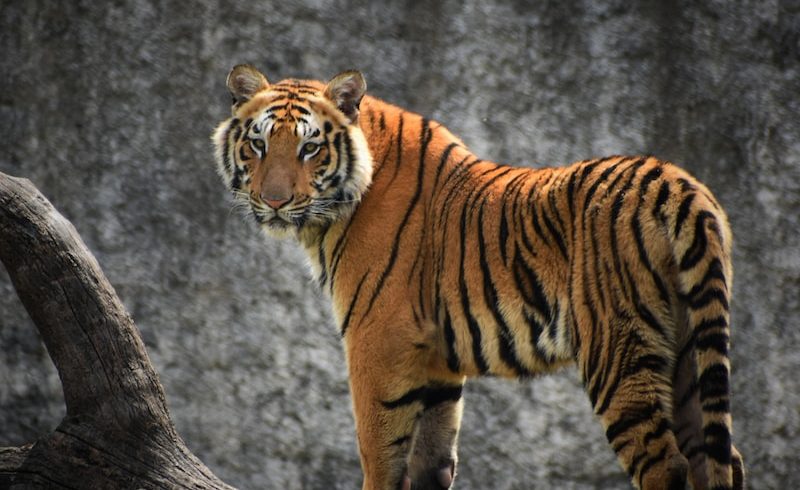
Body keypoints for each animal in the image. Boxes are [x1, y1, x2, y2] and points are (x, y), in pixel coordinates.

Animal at [211, 65, 744, 490]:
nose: (274, 201)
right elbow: (430, 461)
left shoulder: (376, 340)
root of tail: (678, 184)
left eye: (310, 148)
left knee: (666, 465)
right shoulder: (436, 361)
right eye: (258, 144)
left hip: (618, 351)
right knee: (721, 460)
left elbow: (380, 456)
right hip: (689, 350)